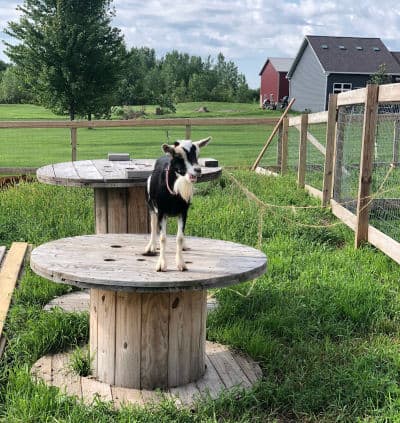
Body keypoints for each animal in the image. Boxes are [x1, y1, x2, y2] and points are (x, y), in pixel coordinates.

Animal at [145, 137, 212, 274]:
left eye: (197, 154)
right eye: (179, 156)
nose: (198, 170)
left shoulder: (183, 212)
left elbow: (179, 237)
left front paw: (181, 264)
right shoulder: (161, 212)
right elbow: (163, 238)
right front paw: (161, 265)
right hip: (151, 207)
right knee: (153, 226)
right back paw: (152, 247)